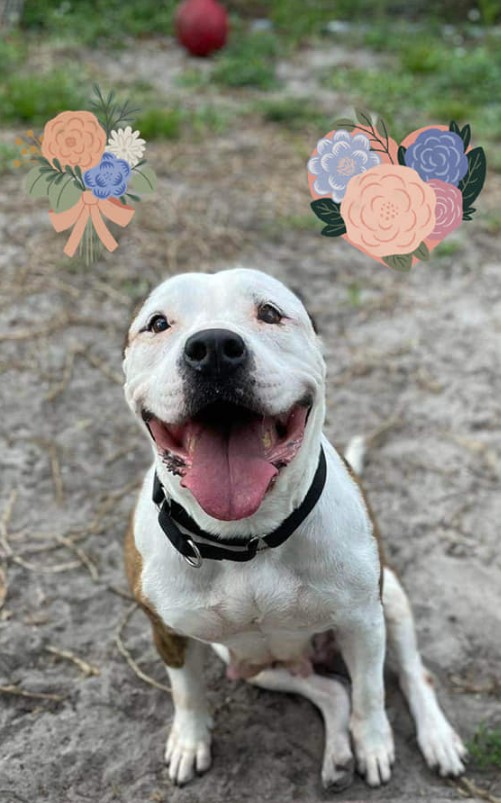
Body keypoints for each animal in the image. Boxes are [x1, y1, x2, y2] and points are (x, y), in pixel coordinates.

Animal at [122, 268, 464, 792]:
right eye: (158, 323)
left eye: (269, 312)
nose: (214, 347)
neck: (247, 539)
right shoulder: (167, 628)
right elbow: (186, 691)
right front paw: (189, 740)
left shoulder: (364, 621)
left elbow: (370, 692)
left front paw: (375, 743)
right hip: (250, 662)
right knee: (330, 691)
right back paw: (337, 756)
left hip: (392, 601)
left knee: (408, 674)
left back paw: (435, 739)